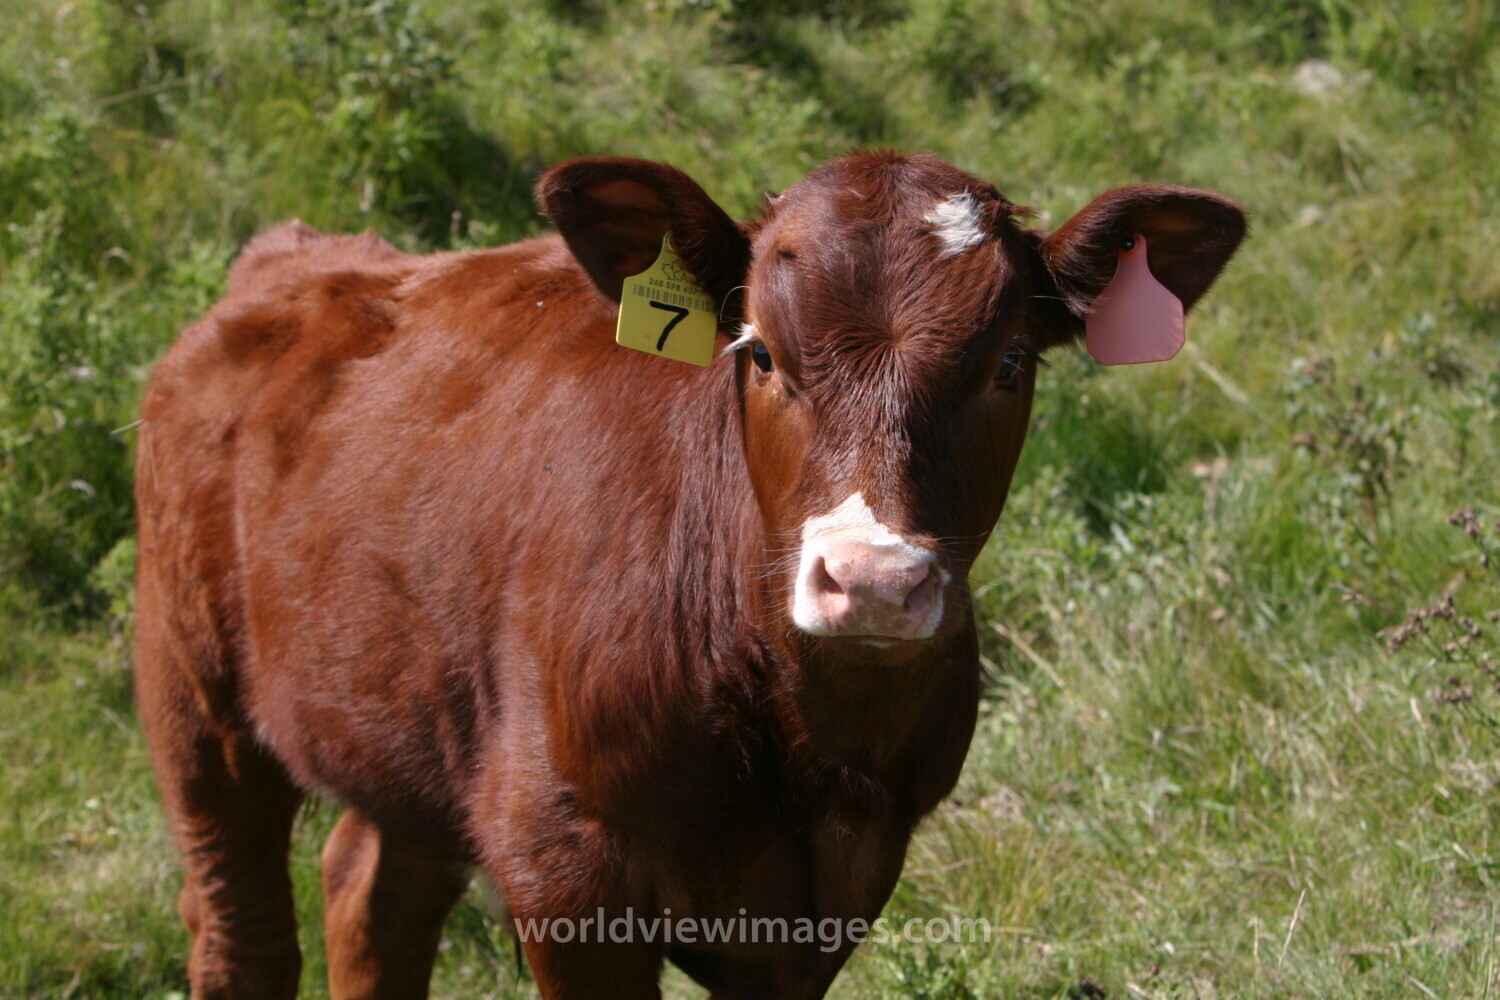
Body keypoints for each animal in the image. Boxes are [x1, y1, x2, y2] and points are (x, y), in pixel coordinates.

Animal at [134, 151, 1244, 999]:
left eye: (1010, 363)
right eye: (759, 351)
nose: (873, 579)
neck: (804, 751)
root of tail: (297, 256)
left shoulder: (829, 897)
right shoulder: (563, 862)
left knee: (372, 895)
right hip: (193, 693)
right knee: (240, 928)